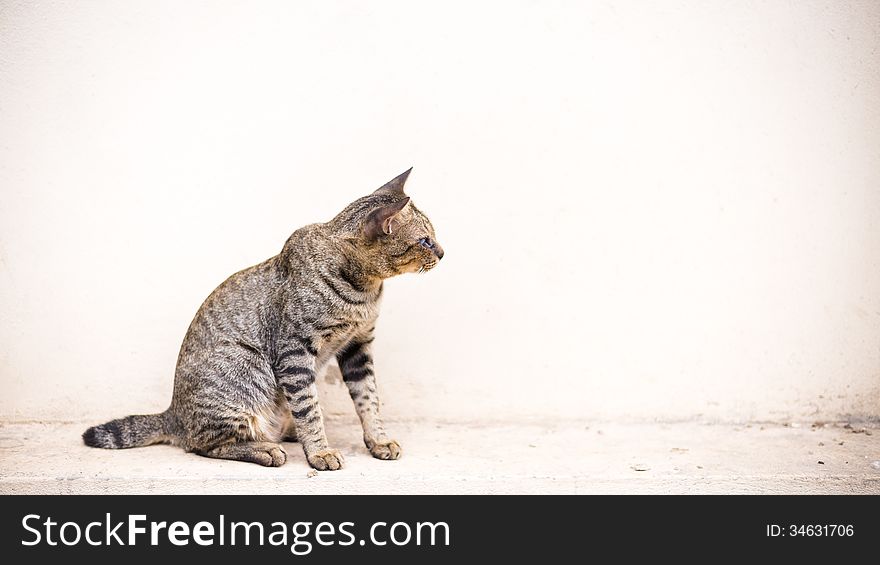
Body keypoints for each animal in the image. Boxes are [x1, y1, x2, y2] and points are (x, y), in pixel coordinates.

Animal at [82, 170, 444, 470]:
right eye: (425, 240)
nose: (442, 252)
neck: (366, 289)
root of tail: (173, 414)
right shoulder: (295, 351)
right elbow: (310, 407)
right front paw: (320, 451)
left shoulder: (358, 346)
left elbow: (369, 399)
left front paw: (378, 440)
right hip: (248, 367)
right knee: (203, 444)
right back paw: (265, 448)